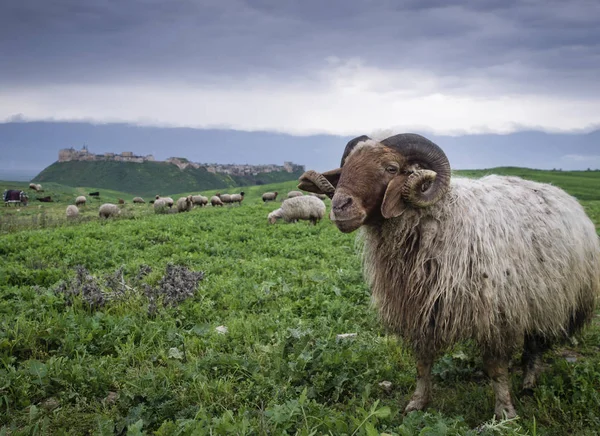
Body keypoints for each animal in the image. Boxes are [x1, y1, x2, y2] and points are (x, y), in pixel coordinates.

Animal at [300, 133, 600, 418]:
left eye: (391, 168)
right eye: (344, 167)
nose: (340, 207)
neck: (439, 219)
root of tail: (564, 195)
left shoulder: (494, 313)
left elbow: (496, 368)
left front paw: (505, 412)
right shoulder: (420, 309)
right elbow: (422, 363)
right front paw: (417, 403)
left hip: (550, 297)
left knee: (536, 342)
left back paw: (528, 381)